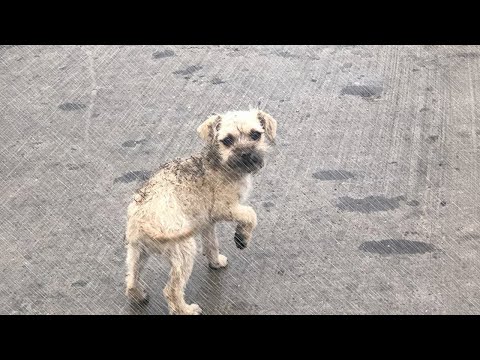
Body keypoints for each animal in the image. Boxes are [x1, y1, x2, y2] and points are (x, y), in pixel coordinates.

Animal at [124, 108, 278, 314]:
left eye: (255, 135)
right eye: (227, 140)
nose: (246, 154)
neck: (218, 162)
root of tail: (141, 220)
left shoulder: (207, 223)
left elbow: (211, 244)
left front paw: (216, 262)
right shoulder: (225, 208)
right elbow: (251, 214)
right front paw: (242, 237)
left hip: (137, 253)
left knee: (131, 279)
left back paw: (139, 295)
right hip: (184, 250)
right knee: (171, 290)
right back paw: (186, 310)